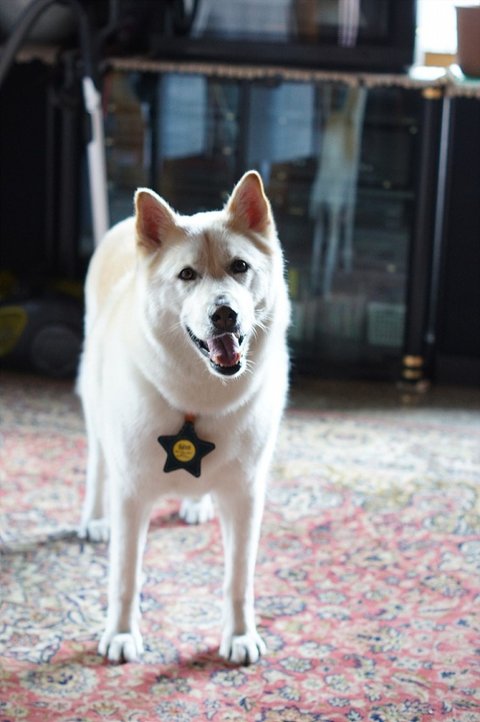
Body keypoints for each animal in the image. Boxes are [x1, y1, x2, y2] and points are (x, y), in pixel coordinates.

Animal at [77, 171, 290, 665]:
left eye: (239, 267)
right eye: (187, 275)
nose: (224, 314)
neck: (201, 400)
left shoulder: (246, 496)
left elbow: (238, 579)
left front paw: (239, 636)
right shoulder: (131, 495)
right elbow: (125, 576)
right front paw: (120, 634)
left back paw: (196, 504)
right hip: (94, 406)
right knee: (97, 463)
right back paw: (94, 519)